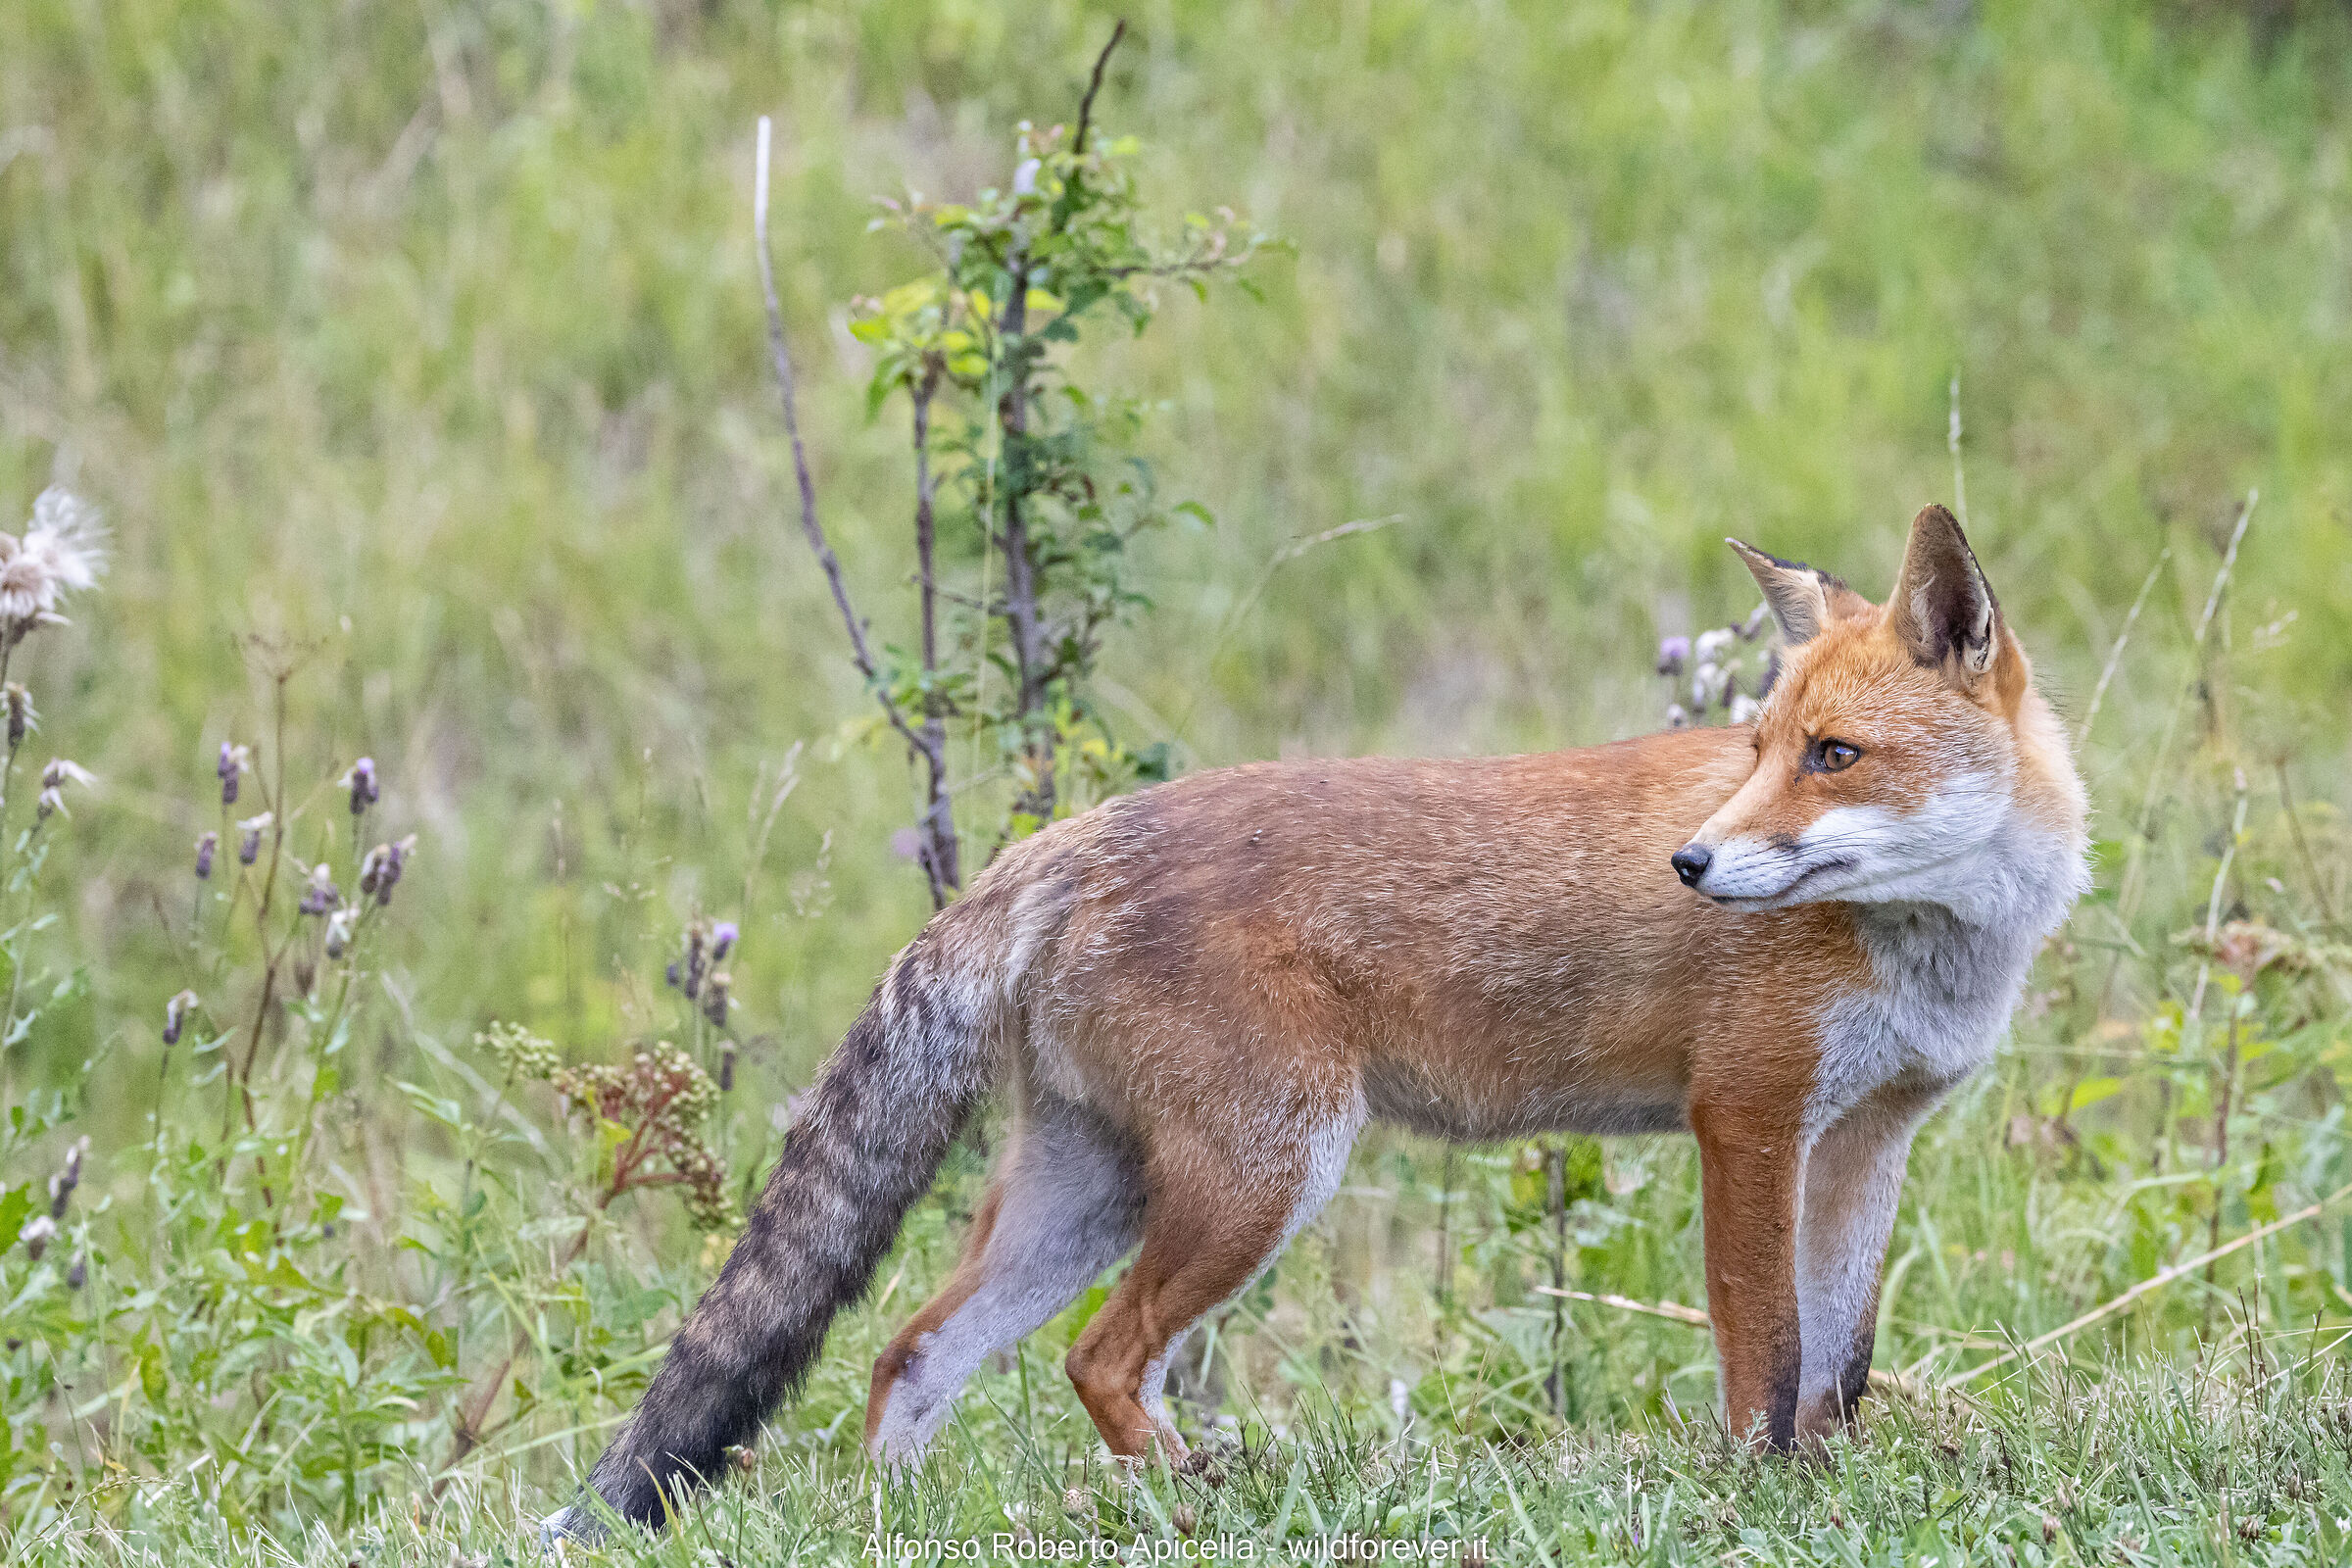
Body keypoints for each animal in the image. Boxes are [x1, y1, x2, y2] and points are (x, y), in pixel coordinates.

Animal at [547, 503, 2087, 1537]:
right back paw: (1200, 1497)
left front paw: (1832, 1483)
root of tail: (1062, 839)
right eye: (1760, 750)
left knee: (910, 1354)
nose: (1694, 868)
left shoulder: (1870, 1138)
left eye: (1833, 756)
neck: (1936, 943)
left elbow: (1841, 1362)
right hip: (1265, 1175)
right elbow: (1764, 1356)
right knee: (1096, 1360)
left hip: (1095, 1194)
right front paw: (1766, 1497)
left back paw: (902, 1528)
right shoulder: (1748, 1121)